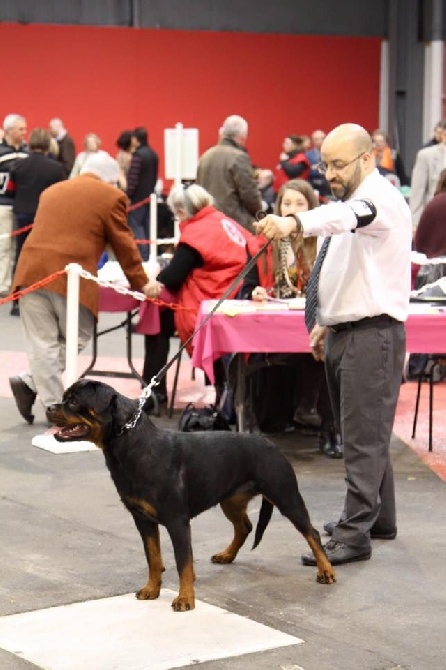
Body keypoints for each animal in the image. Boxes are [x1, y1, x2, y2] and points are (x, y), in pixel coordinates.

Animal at [47, 380, 336, 612]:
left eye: (73, 401)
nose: (50, 407)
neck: (130, 445)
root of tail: (270, 443)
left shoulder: (177, 521)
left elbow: (182, 562)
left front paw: (185, 599)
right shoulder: (143, 519)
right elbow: (153, 558)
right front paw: (152, 589)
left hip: (285, 494)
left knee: (311, 532)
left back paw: (326, 571)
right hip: (230, 499)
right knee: (244, 525)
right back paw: (226, 555)